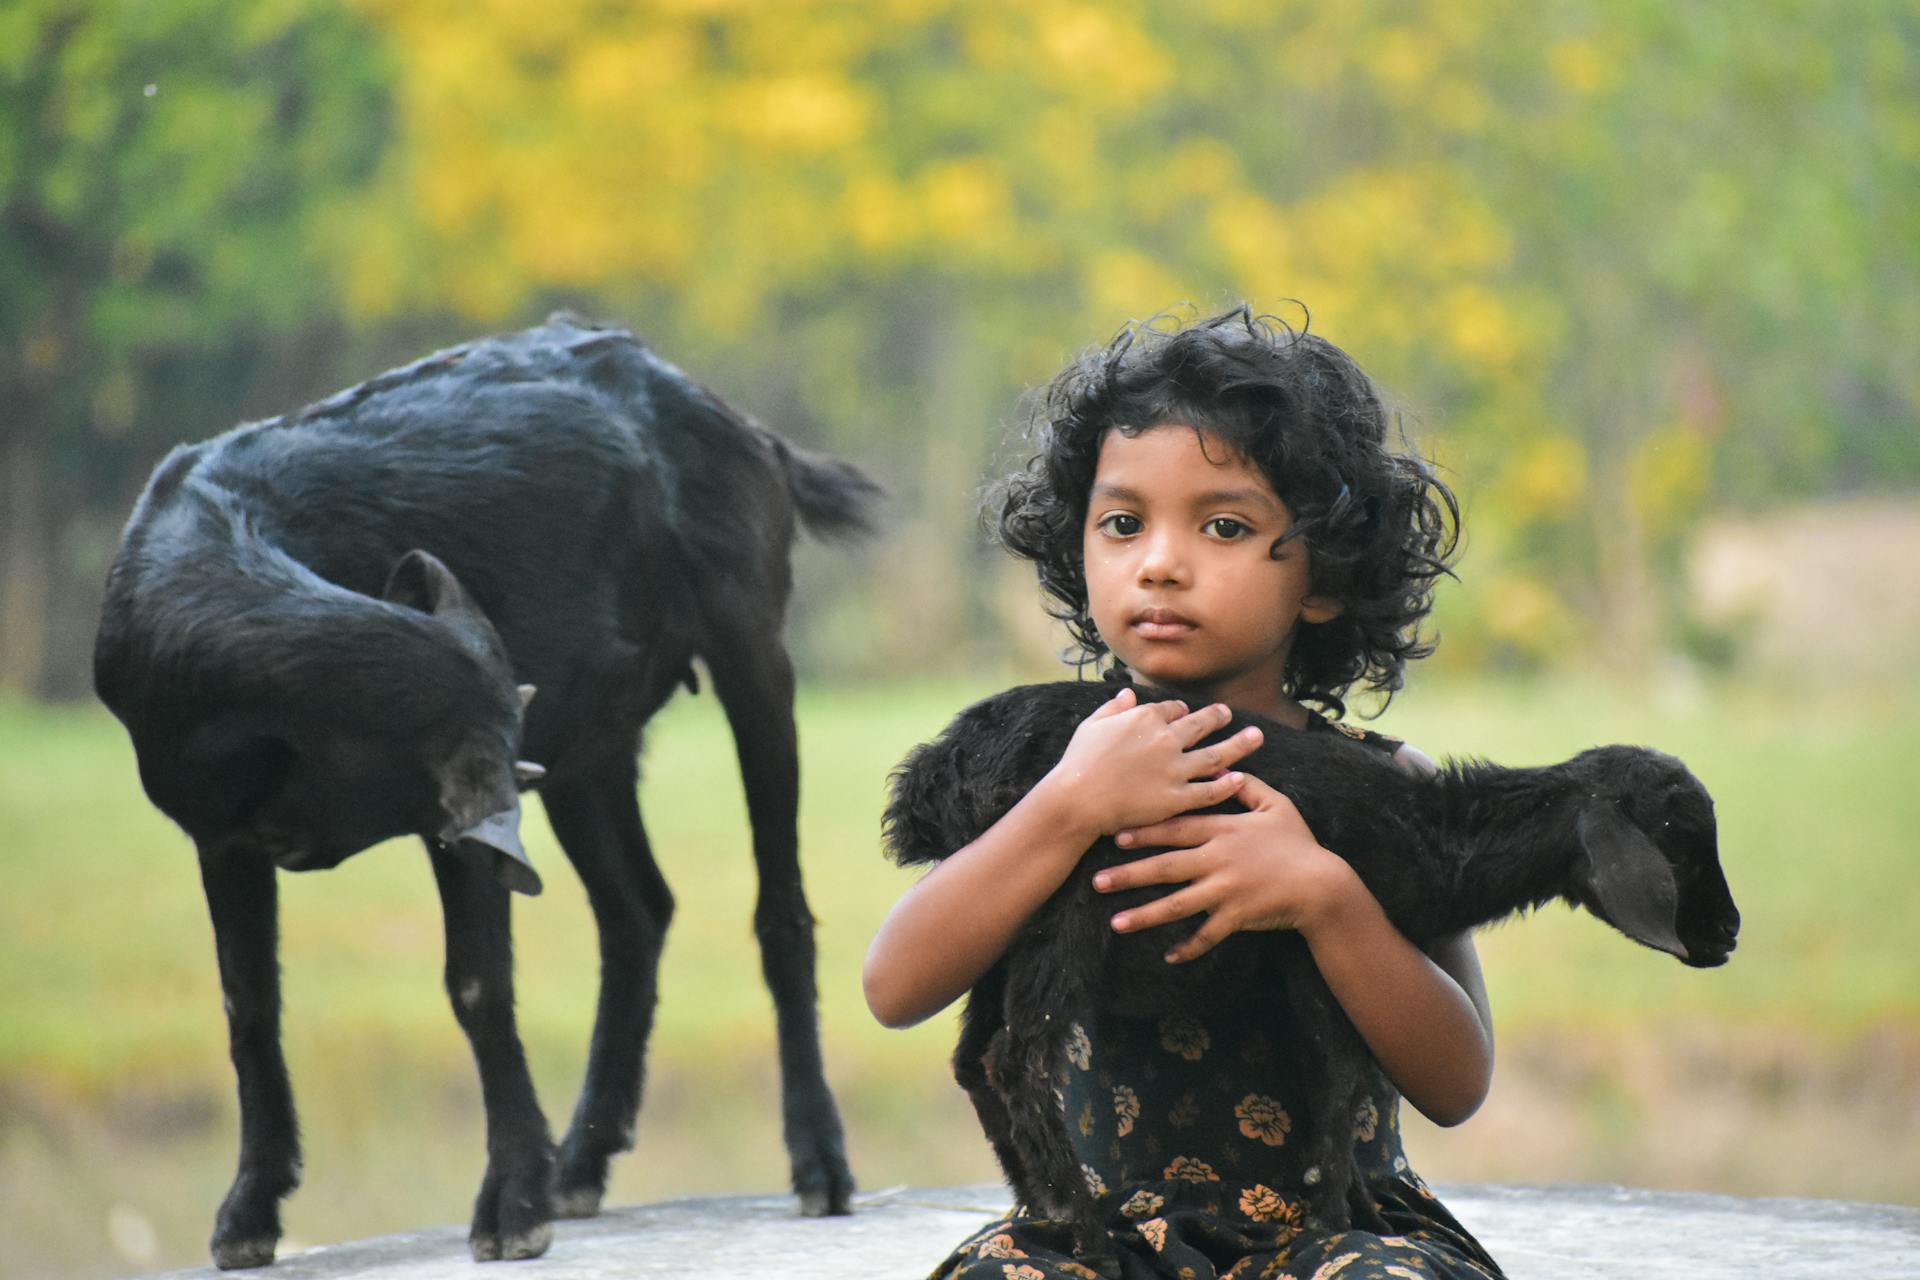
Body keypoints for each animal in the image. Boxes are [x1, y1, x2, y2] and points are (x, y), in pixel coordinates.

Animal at [97, 314, 879, 1266]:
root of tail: (733, 420)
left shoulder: (450, 829)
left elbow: (476, 983)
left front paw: (512, 1207)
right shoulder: (225, 833)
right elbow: (248, 1005)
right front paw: (247, 1215)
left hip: (753, 647)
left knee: (780, 910)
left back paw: (818, 1165)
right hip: (595, 747)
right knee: (637, 910)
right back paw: (582, 1161)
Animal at [883, 679, 1743, 1274]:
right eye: (1676, 835)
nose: (1730, 932)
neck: (1438, 838)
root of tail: (937, 772)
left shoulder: (1334, 951)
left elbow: (1350, 1079)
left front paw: (1363, 1210)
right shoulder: (1311, 949)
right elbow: (1338, 1081)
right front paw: (1335, 1222)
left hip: (1008, 924)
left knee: (974, 1059)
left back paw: (1043, 1206)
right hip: (1068, 903)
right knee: (1017, 1057)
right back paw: (1093, 1236)